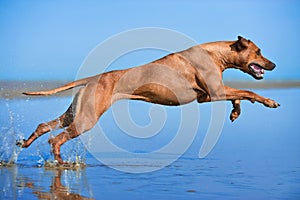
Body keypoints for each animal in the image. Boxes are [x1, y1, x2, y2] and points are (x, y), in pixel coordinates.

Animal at [16, 36, 278, 164]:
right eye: (258, 52)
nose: (274, 64)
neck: (216, 53)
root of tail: (92, 78)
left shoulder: (207, 96)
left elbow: (241, 96)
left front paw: (235, 111)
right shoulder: (215, 92)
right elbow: (248, 91)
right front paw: (268, 101)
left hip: (76, 113)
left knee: (45, 126)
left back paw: (26, 143)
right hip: (87, 118)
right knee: (56, 139)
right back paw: (60, 162)